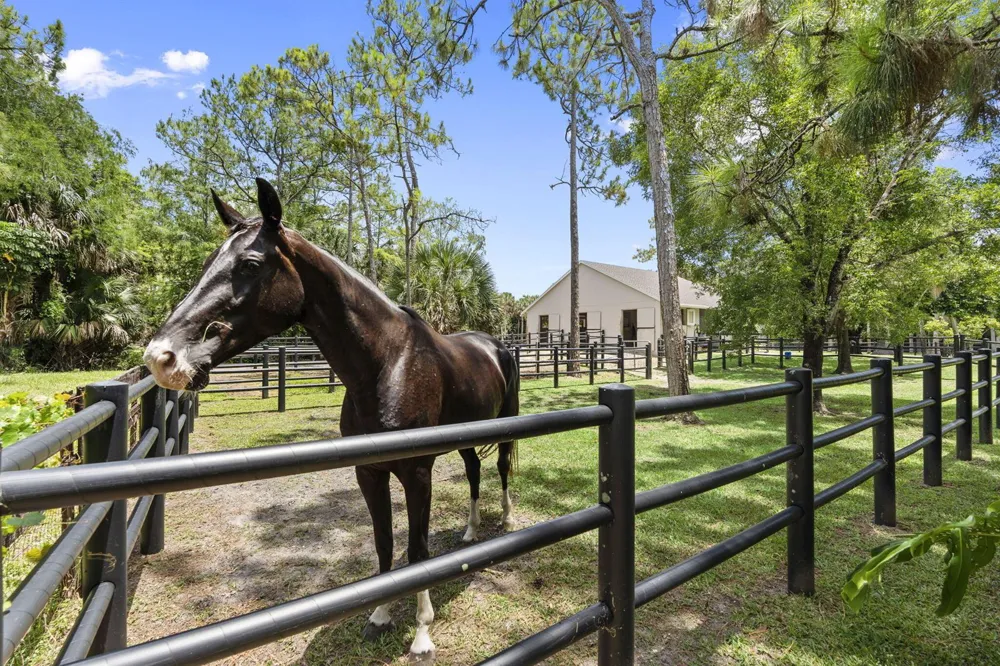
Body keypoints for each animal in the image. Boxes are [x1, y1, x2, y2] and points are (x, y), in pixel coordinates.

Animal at [143, 177, 519, 658]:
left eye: (250, 263)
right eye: (210, 262)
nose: (162, 357)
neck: (388, 364)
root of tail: (496, 344)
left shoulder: (417, 472)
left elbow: (416, 552)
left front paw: (421, 635)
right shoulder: (369, 472)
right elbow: (384, 545)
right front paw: (380, 616)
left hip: (505, 426)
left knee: (502, 467)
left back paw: (506, 520)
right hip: (465, 437)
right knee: (473, 472)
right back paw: (470, 533)